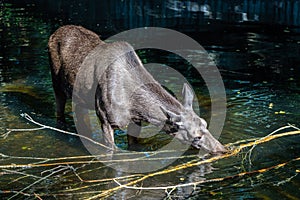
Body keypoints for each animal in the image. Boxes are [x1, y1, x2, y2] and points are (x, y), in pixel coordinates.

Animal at [48, 24, 226, 153]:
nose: (223, 150)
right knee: (59, 110)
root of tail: (55, 32)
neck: (134, 106)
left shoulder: (136, 121)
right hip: (56, 83)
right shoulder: (104, 118)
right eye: (196, 136)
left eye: (205, 124)